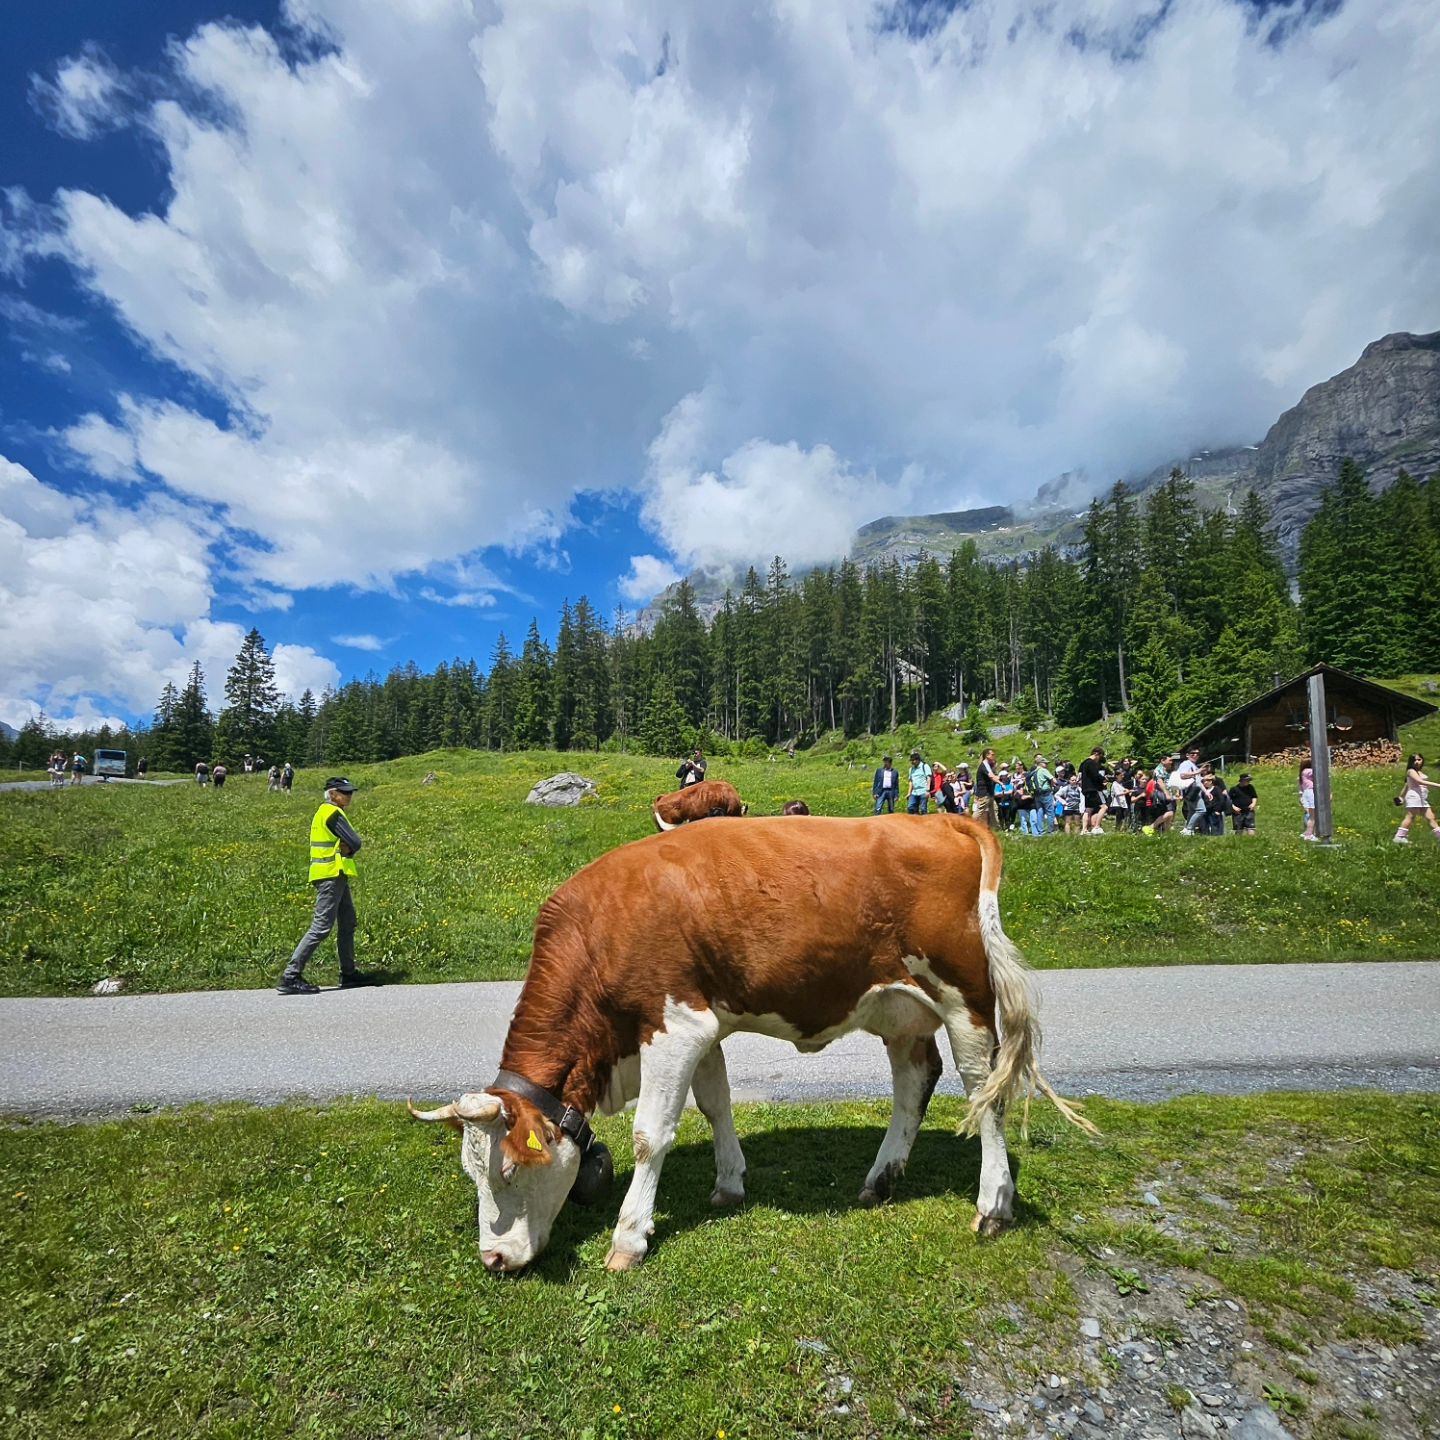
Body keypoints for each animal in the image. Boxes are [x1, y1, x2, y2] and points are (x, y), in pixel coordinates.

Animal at [408, 817, 1088, 1278]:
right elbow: (715, 1106)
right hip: (902, 1008)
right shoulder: (701, 1026)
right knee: (916, 1080)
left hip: (964, 997)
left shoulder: (673, 1025)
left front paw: (629, 1237)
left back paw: (993, 1204)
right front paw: (730, 1182)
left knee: (983, 1091)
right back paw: (882, 1176)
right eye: (471, 1172)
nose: (493, 1259)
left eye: (508, 1169)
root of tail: (939, 819)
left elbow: (651, 1134)